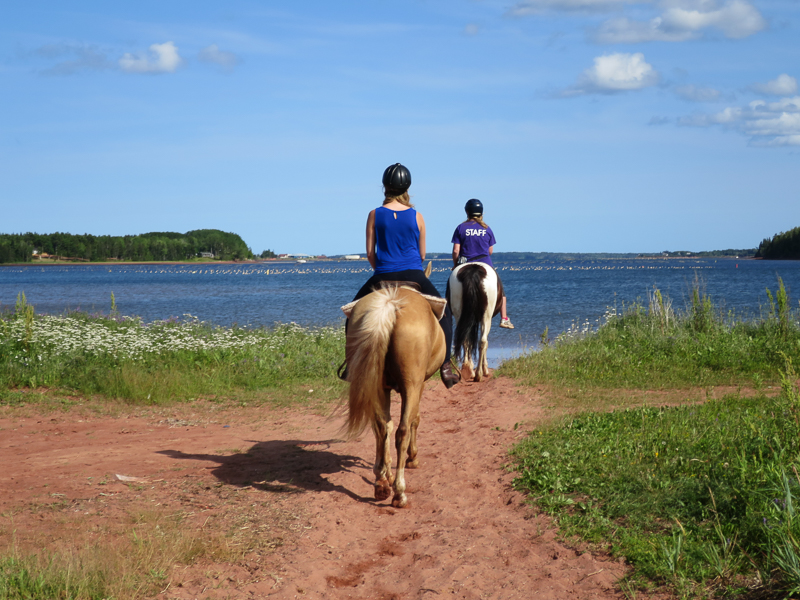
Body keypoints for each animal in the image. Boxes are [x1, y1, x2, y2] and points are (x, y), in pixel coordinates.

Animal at [340, 270, 446, 508]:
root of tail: (390, 304)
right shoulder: (419, 385)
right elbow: (415, 420)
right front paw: (412, 458)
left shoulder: (383, 388)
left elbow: (383, 426)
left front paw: (383, 472)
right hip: (411, 385)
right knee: (402, 430)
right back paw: (399, 492)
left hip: (376, 382)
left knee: (381, 427)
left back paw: (381, 485)